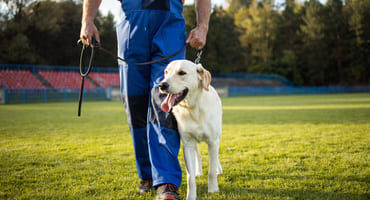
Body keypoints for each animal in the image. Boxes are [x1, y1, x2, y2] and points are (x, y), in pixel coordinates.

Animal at [158, 59, 221, 200]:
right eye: (166, 72)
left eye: (182, 73)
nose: (162, 85)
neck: (193, 109)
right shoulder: (187, 145)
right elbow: (190, 178)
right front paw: (191, 196)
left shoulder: (213, 142)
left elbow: (211, 170)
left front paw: (213, 190)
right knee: (198, 156)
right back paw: (198, 171)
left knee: (215, 158)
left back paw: (218, 169)